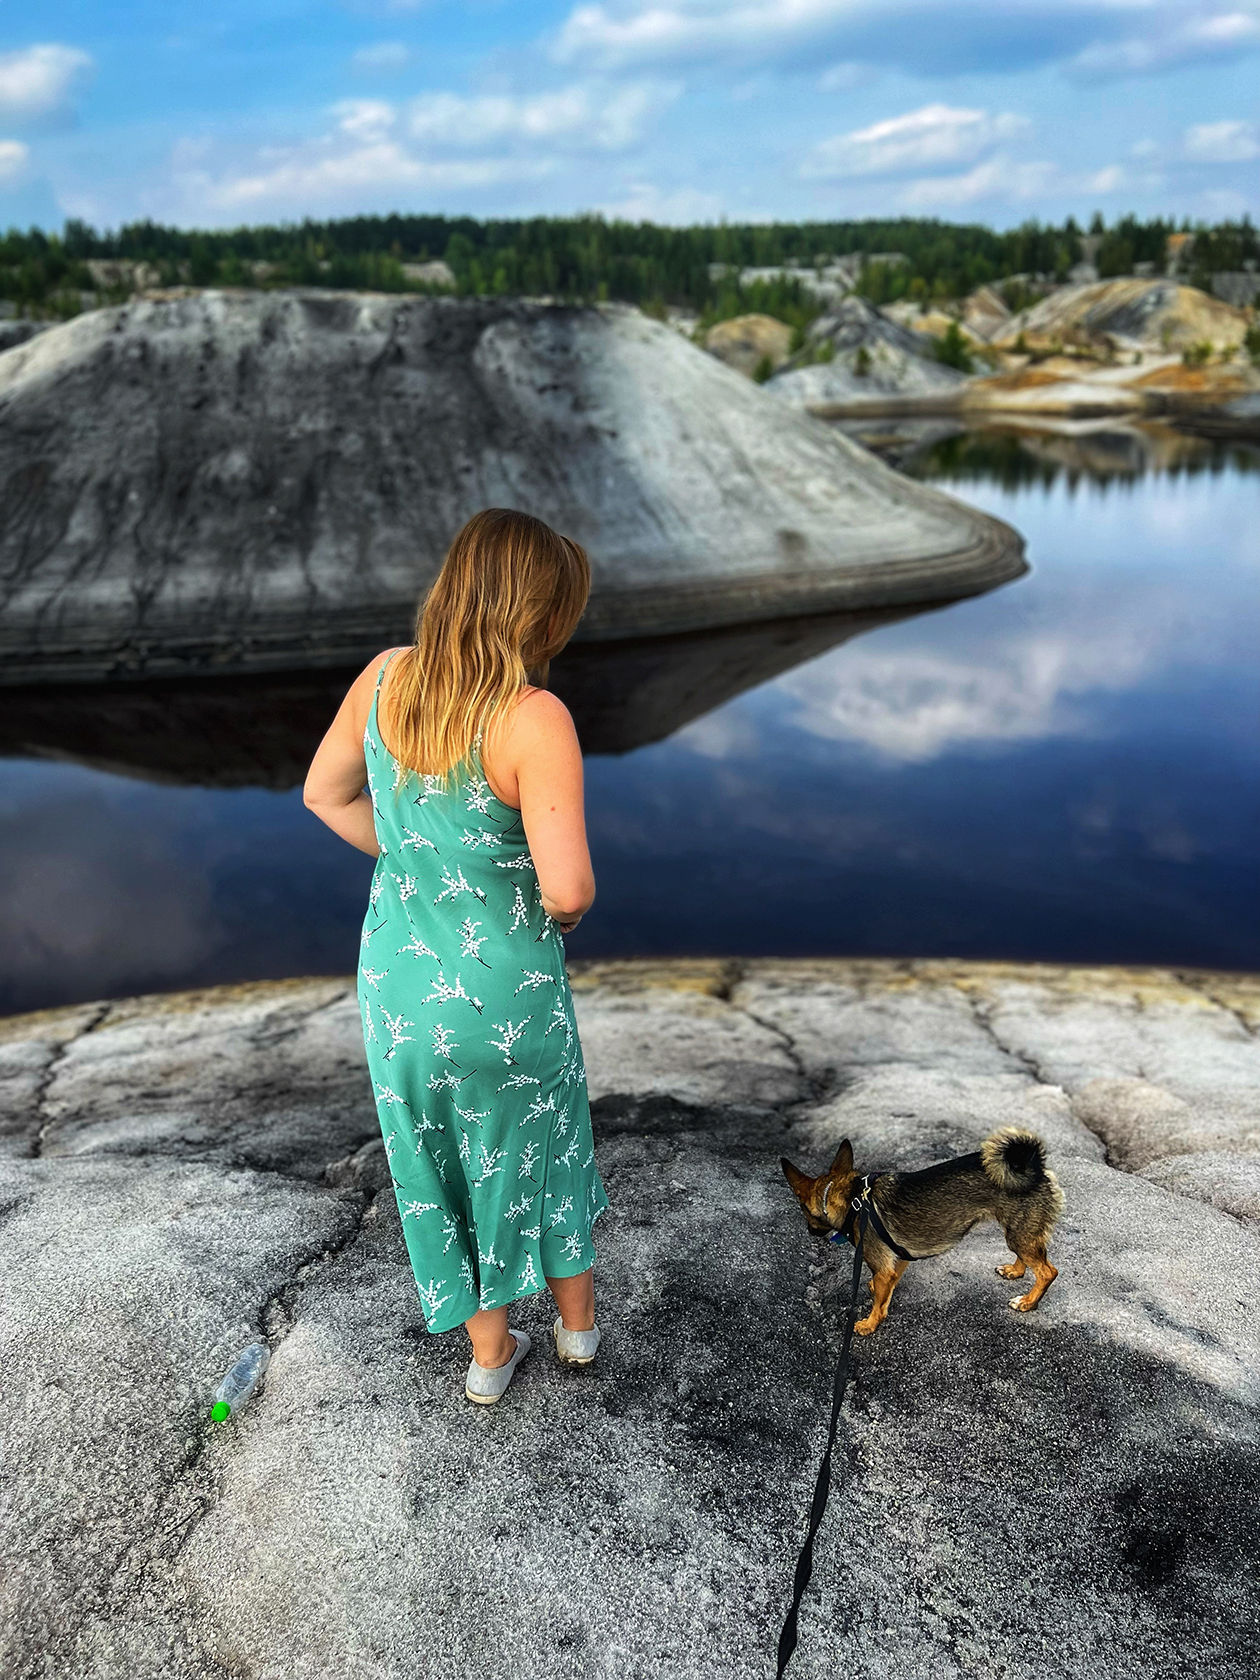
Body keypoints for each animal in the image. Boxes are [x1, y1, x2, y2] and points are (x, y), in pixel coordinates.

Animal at [779, 1128, 1068, 1337]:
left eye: (803, 1210)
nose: (809, 1231)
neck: (854, 1199)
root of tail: (1034, 1168)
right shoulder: (898, 1260)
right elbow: (886, 1292)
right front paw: (876, 1295)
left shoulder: (882, 1265)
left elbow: (878, 1303)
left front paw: (869, 1324)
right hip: (1019, 1232)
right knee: (1029, 1258)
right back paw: (1014, 1271)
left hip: (1020, 1234)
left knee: (1047, 1271)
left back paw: (1028, 1302)